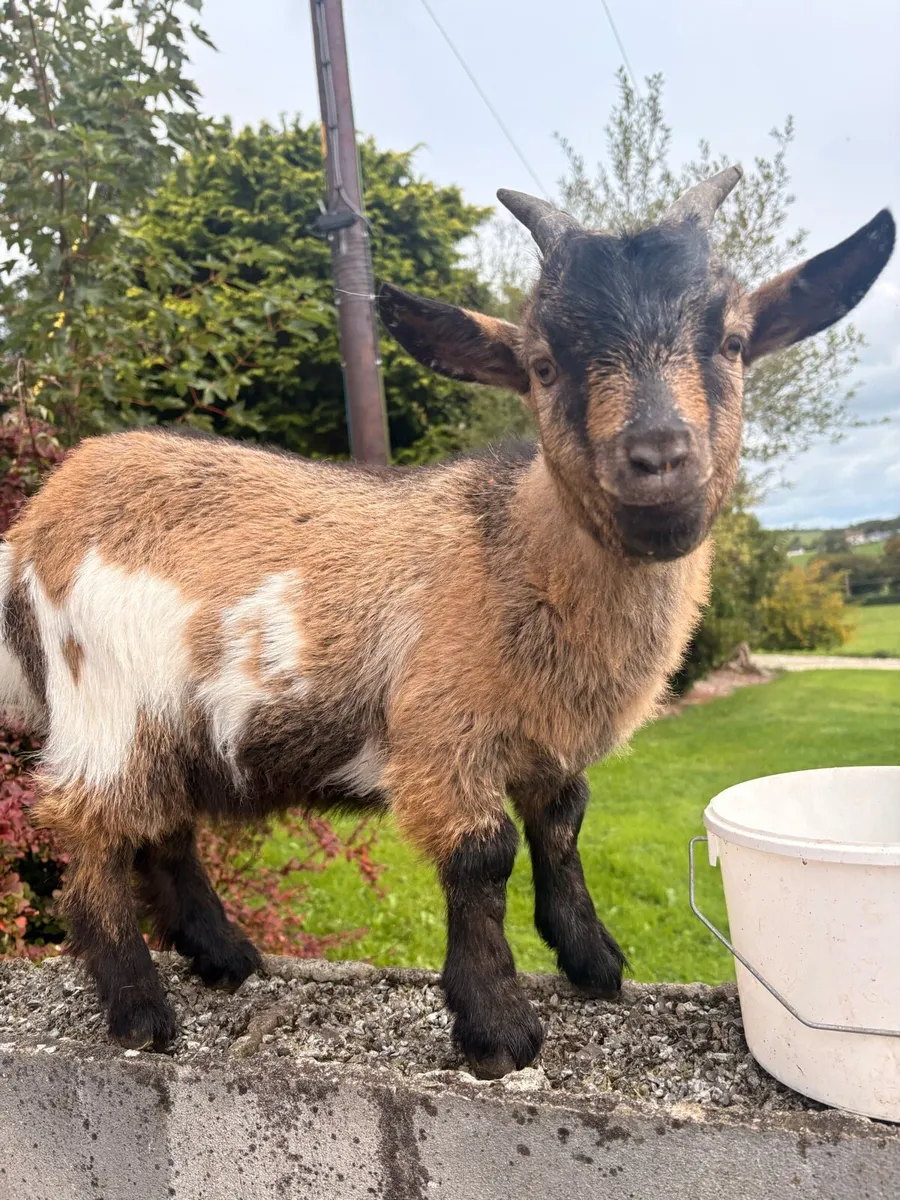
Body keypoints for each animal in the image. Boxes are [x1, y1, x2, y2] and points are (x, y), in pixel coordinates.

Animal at [0, 168, 893, 1077]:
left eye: (734, 342)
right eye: (541, 365)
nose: (659, 457)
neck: (514, 548)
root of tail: (36, 525)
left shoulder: (549, 738)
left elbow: (562, 828)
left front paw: (593, 963)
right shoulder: (441, 734)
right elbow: (484, 857)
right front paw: (497, 1029)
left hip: (166, 724)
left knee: (164, 832)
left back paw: (225, 958)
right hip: (102, 705)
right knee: (94, 847)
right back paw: (140, 1012)